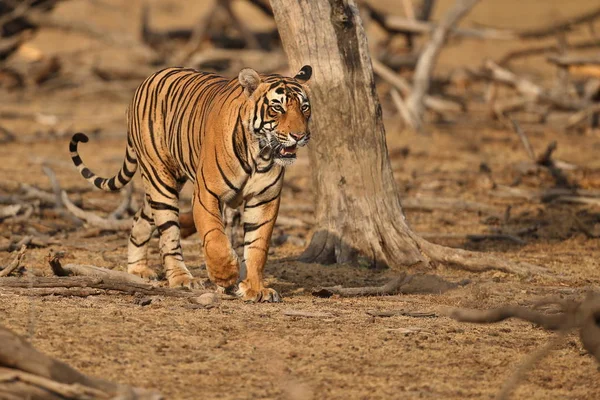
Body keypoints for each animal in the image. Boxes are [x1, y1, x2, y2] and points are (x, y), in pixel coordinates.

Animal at [69, 65, 312, 302]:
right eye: (277, 108)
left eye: (305, 108)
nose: (299, 135)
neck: (259, 153)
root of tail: (147, 79)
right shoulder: (206, 193)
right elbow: (214, 236)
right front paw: (226, 275)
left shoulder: (264, 199)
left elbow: (257, 247)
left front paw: (255, 289)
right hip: (161, 181)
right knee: (168, 236)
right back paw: (182, 279)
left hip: (164, 186)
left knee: (140, 218)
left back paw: (138, 269)